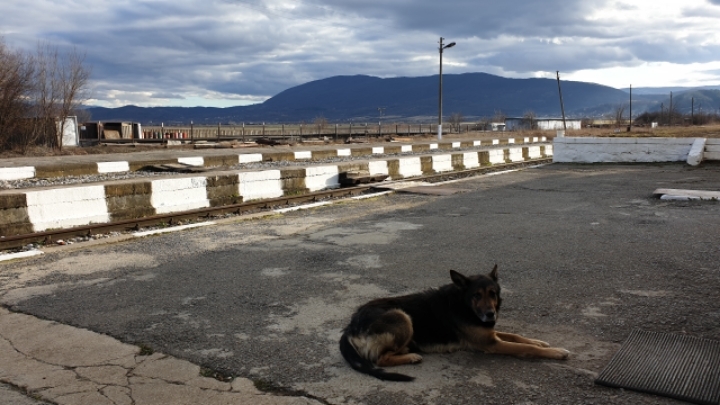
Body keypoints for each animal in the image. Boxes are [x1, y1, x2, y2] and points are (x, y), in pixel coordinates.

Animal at [339, 265, 569, 381]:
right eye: (476, 295)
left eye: (492, 293)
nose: (490, 315)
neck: (463, 304)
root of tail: (349, 326)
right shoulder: (491, 343)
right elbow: (526, 348)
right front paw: (557, 352)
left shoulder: (489, 333)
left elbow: (517, 336)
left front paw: (540, 341)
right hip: (401, 316)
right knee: (380, 358)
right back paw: (410, 356)